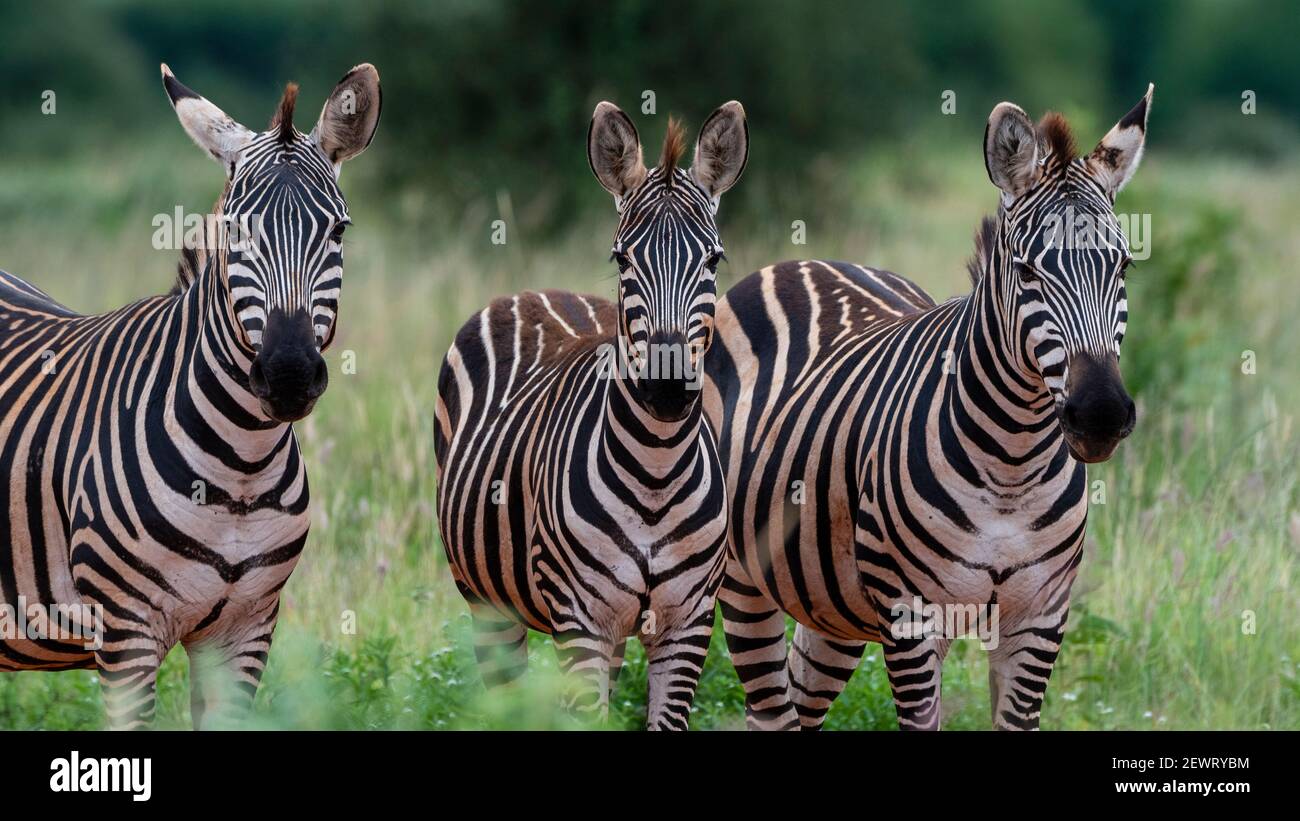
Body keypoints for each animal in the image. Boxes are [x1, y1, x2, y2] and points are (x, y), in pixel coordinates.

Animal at [0, 65, 382, 732]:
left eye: (338, 230)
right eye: (233, 228)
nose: (288, 374)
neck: (240, 470)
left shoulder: (247, 630)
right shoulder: (125, 633)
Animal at [434, 101, 748, 722]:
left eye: (714, 258)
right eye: (622, 257)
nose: (667, 388)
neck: (657, 471)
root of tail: (534, 291)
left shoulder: (688, 624)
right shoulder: (580, 623)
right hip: (486, 604)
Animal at [707, 86, 1154, 727]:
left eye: (1124, 265)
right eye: (1026, 270)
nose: (1100, 416)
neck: (1012, 467)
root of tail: (802, 262)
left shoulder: (1040, 621)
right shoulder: (912, 619)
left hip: (830, 605)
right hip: (744, 583)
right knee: (769, 707)